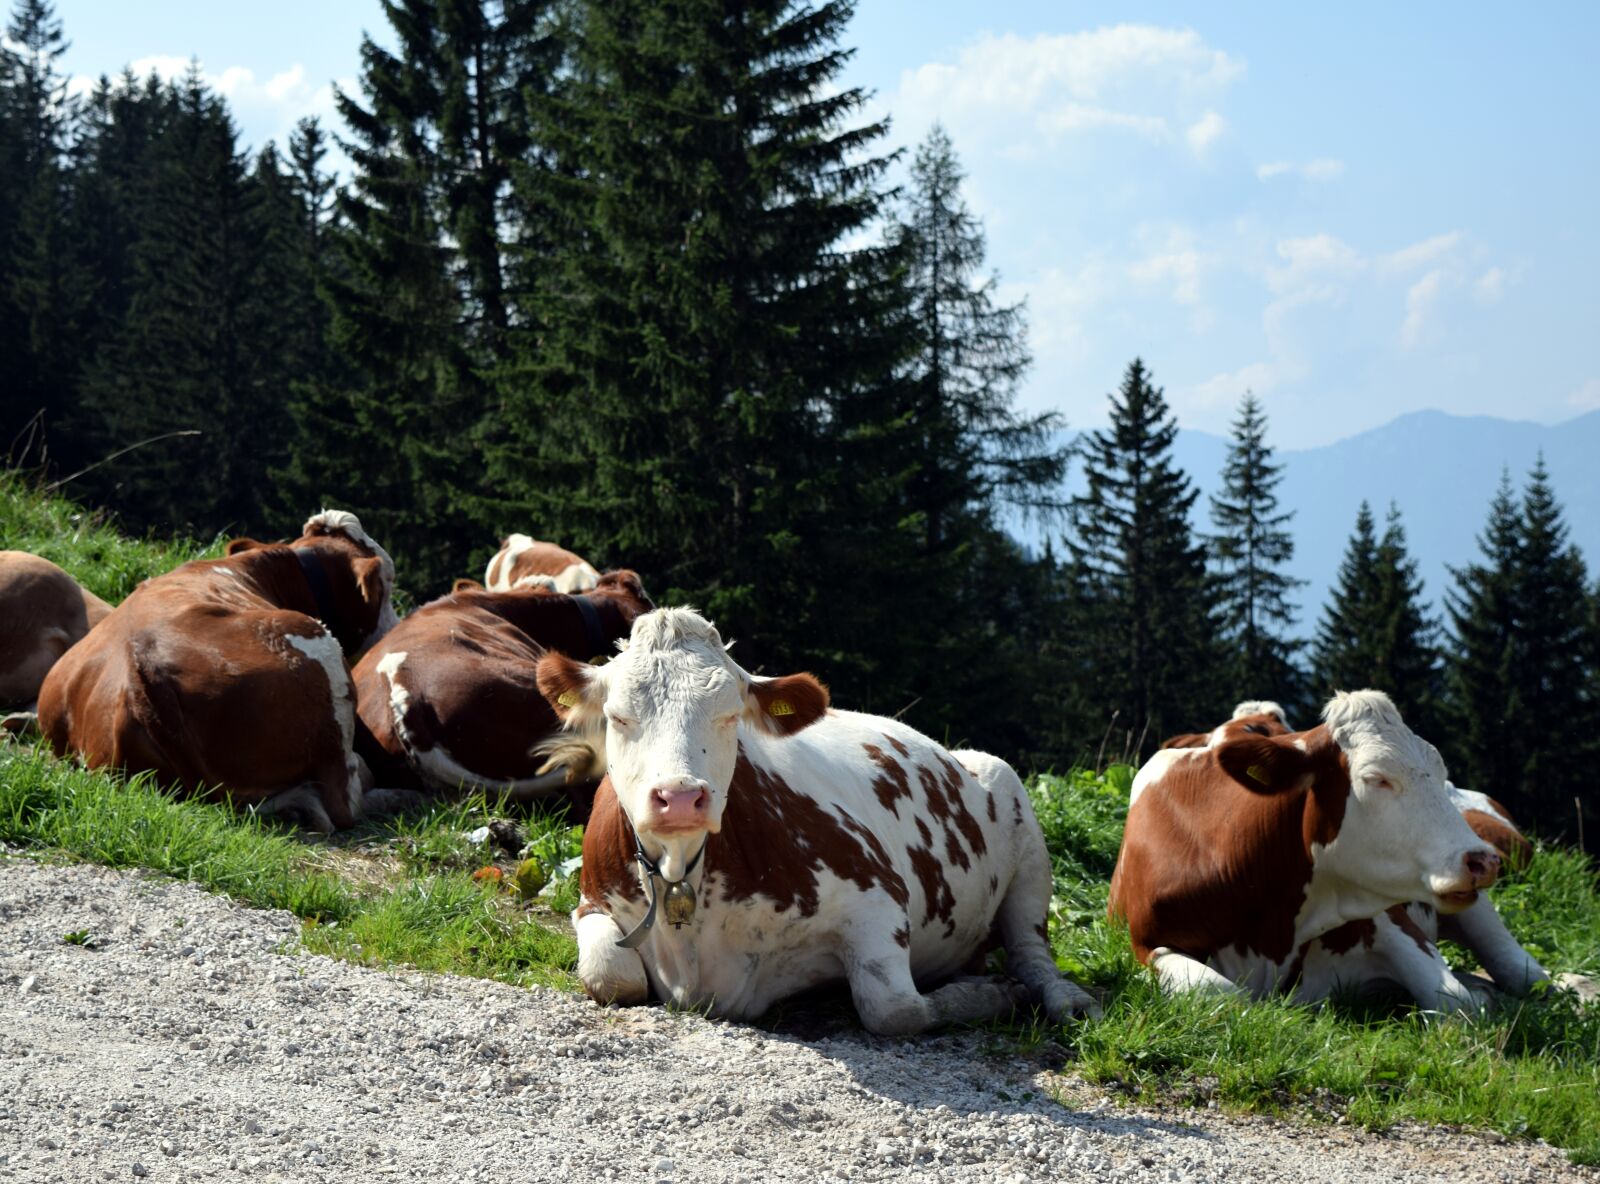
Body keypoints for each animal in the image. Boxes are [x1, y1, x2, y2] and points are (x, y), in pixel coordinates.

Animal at [535, 607, 1098, 1036]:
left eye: (730, 715)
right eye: (618, 716)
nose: (679, 797)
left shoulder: (877, 898)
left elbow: (894, 1007)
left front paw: (987, 997)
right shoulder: (591, 899)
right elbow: (611, 974)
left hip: (1020, 818)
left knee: (1030, 950)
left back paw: (1065, 1000)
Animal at [1109, 690, 1504, 1007]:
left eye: (1441, 774)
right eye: (1376, 778)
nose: (1482, 860)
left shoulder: (1392, 921)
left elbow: (1458, 1000)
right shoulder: (1146, 943)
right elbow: (1220, 992)